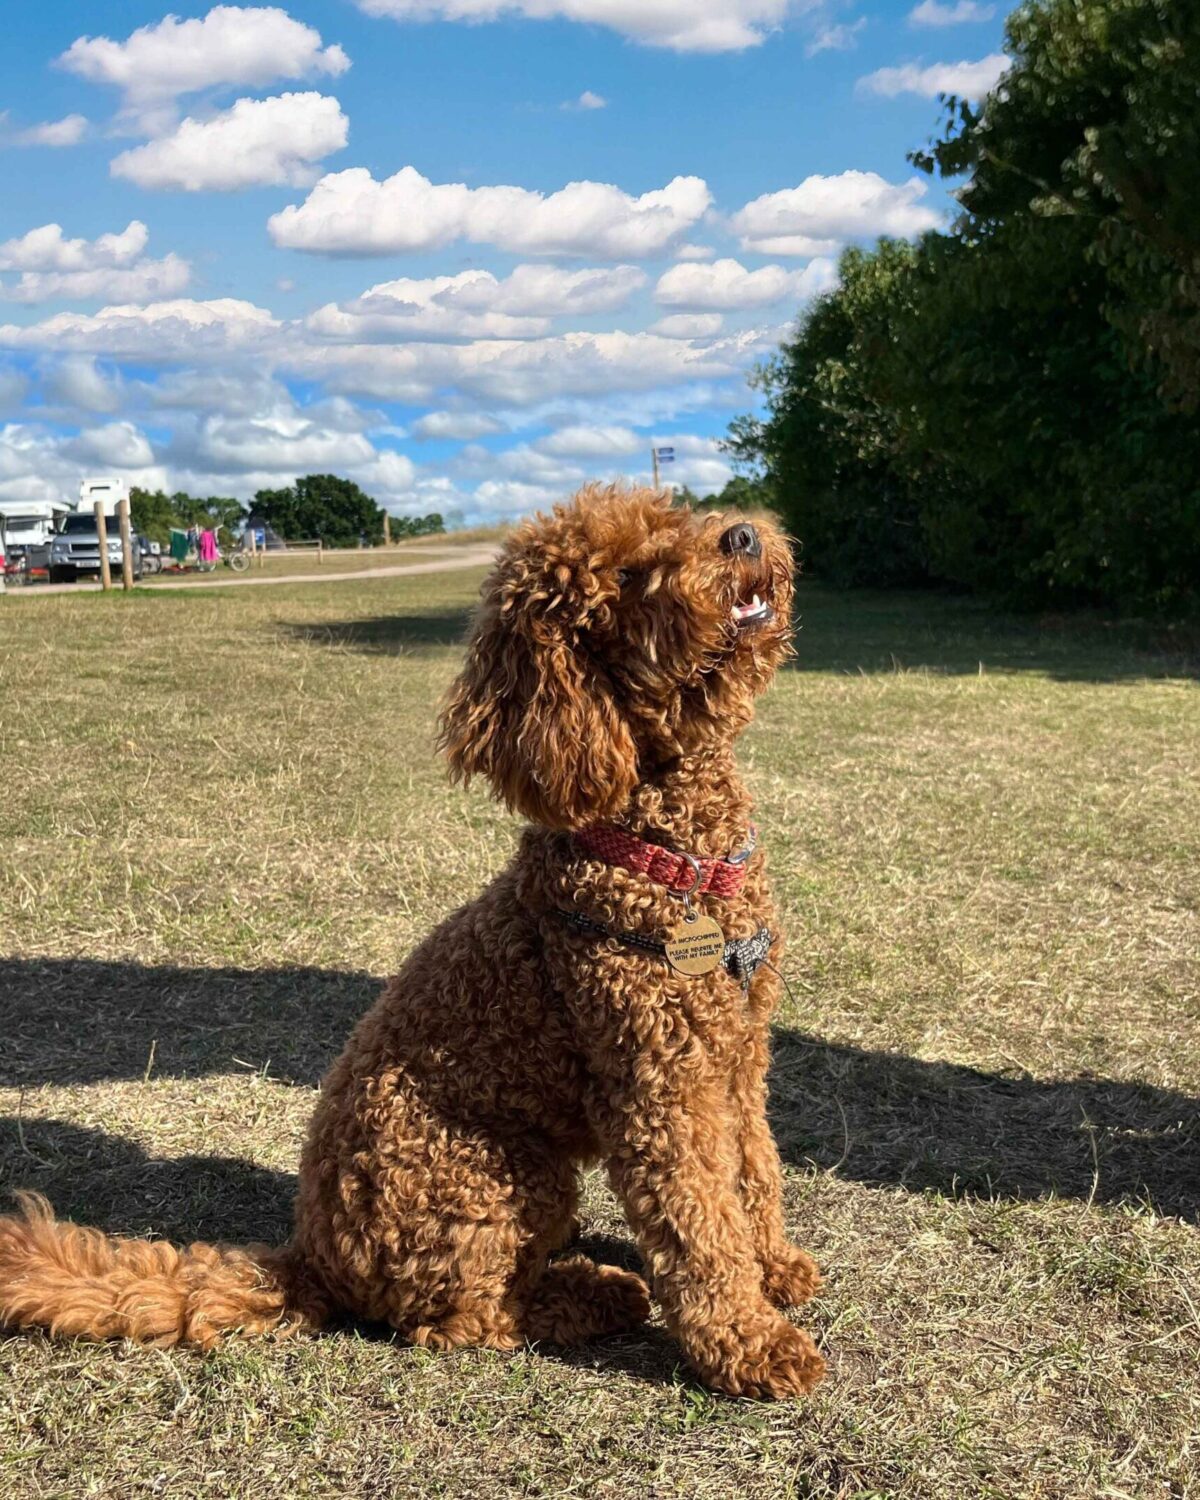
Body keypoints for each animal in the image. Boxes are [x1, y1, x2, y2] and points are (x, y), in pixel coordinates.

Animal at [0, 486, 828, 1398]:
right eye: (624, 575)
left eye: (675, 515)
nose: (742, 534)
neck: (674, 859)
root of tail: (312, 1259)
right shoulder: (660, 1086)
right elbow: (699, 1221)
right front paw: (750, 1342)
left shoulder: (738, 1057)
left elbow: (753, 1172)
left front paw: (775, 1266)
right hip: (503, 1171)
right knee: (460, 1320)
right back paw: (591, 1294)